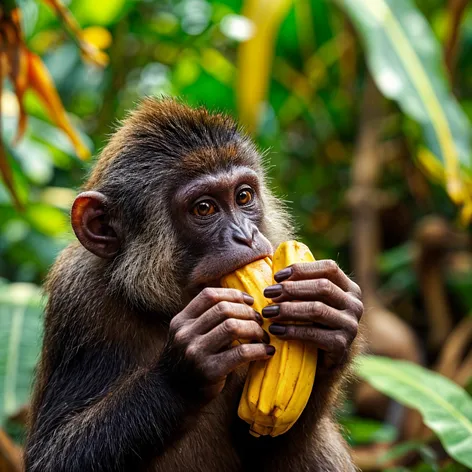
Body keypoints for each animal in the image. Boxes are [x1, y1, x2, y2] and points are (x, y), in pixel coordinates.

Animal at [24, 97, 364, 470]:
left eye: (243, 197)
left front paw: (331, 312)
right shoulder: (78, 296)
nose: (245, 236)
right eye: (204, 208)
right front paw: (184, 370)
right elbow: (53, 454)